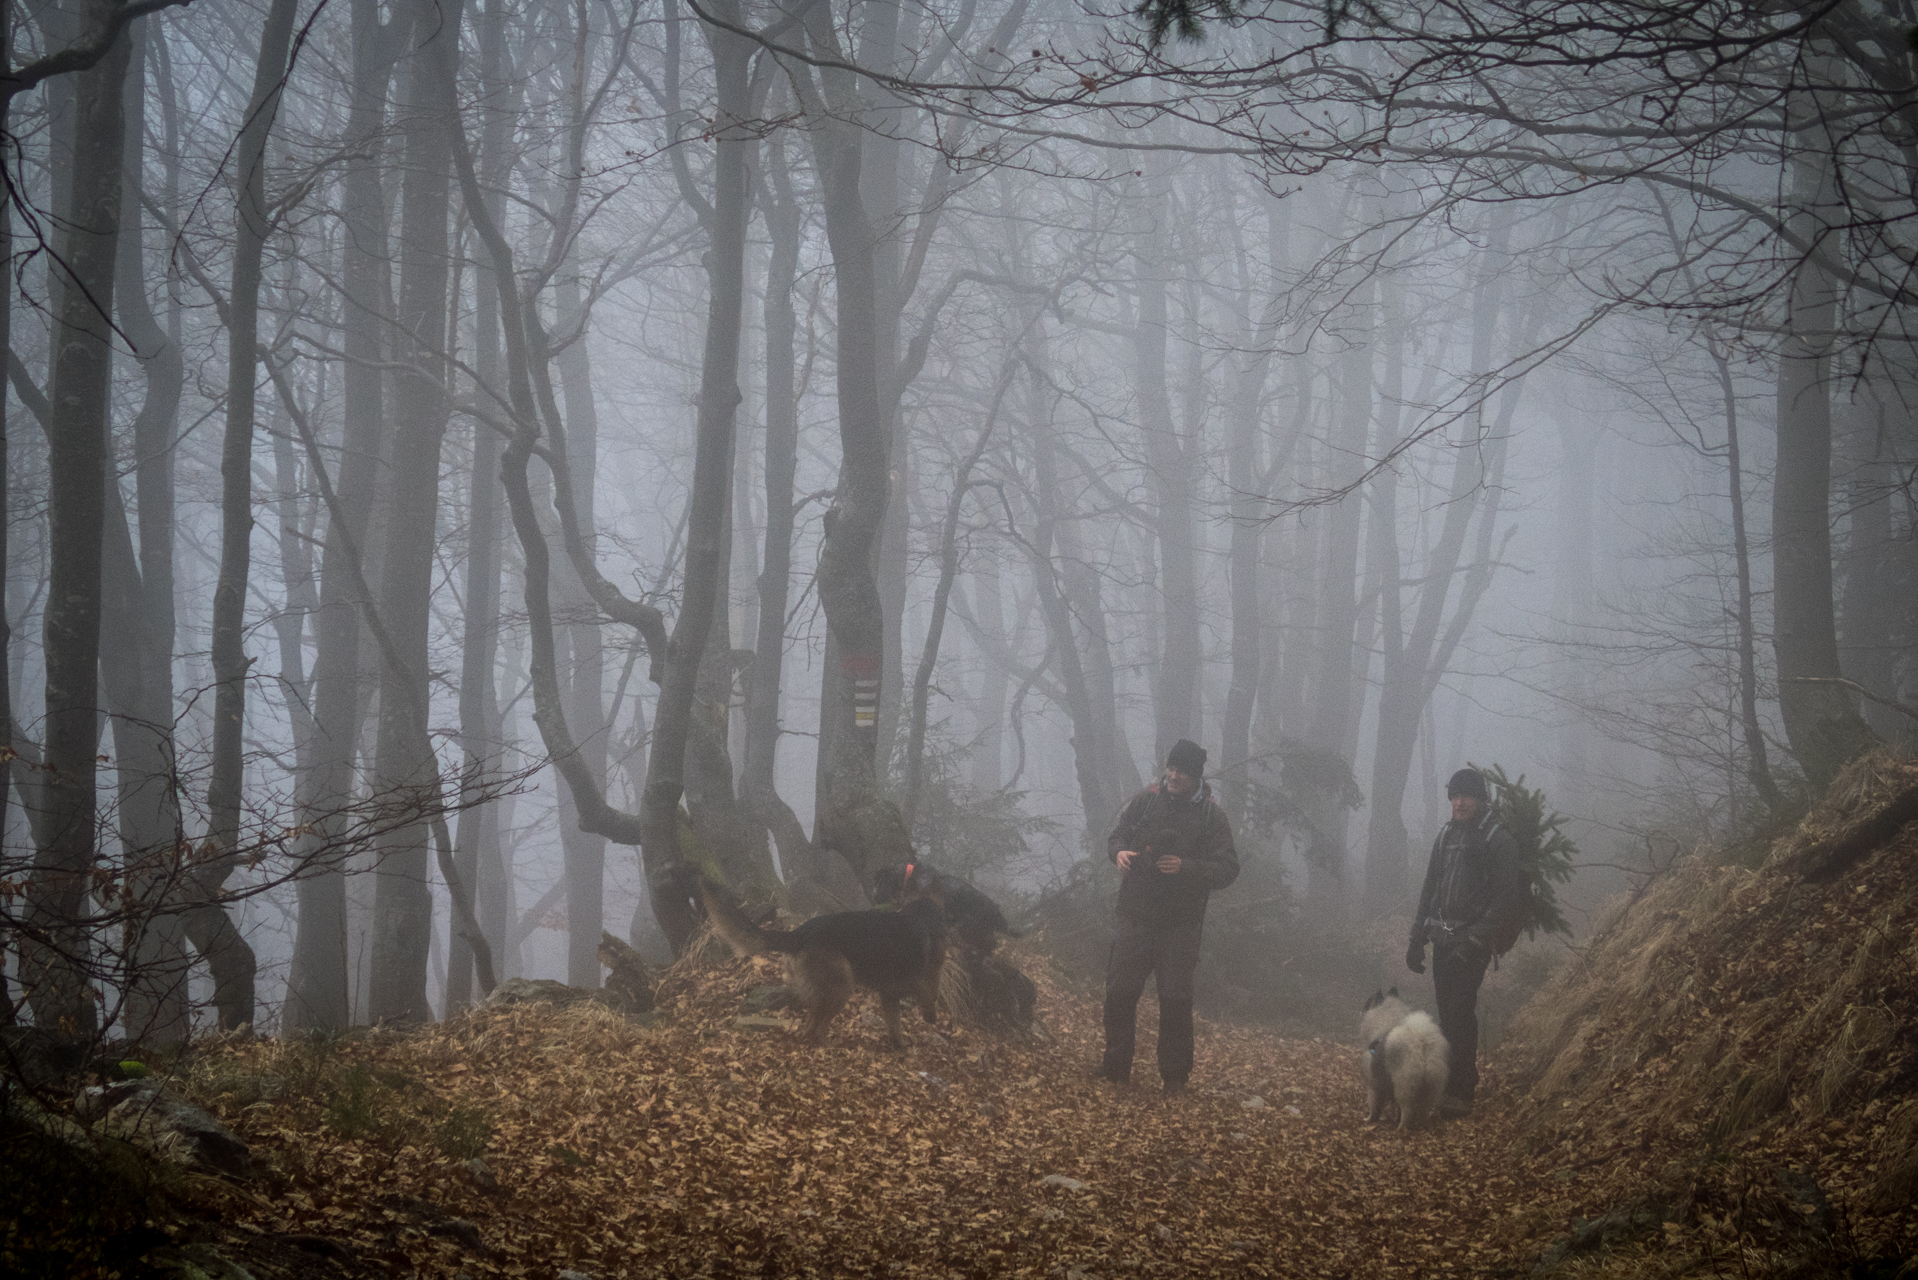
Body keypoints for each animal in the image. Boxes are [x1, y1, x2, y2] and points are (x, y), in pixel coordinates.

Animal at [701, 871, 947, 1051]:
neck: (922, 911)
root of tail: (800, 934)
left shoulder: (889, 994)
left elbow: (894, 1023)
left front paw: (899, 1045)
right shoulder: (927, 981)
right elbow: (927, 999)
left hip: (822, 992)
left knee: (809, 1025)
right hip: (841, 988)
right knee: (818, 1028)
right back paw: (831, 1047)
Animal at [1365, 990, 1450, 1128]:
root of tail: (1421, 1040)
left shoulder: (1373, 1085)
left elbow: (1374, 1106)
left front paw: (1370, 1119)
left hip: (1403, 1086)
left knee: (1407, 1110)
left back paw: (1401, 1127)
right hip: (1429, 1086)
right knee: (1423, 1109)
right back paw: (1422, 1124)